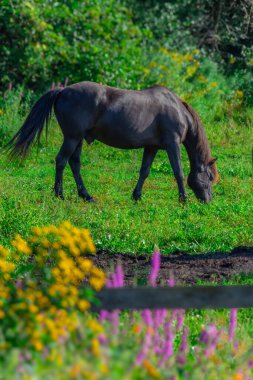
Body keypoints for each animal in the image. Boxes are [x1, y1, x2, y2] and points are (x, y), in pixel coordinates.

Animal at [6, 81, 218, 203]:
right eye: (209, 177)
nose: (208, 200)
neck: (177, 109)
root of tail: (63, 90)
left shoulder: (151, 147)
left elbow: (144, 171)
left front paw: (136, 196)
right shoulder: (172, 144)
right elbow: (178, 172)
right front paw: (183, 199)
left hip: (78, 139)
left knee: (74, 164)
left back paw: (86, 196)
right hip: (72, 138)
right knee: (61, 161)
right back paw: (60, 195)